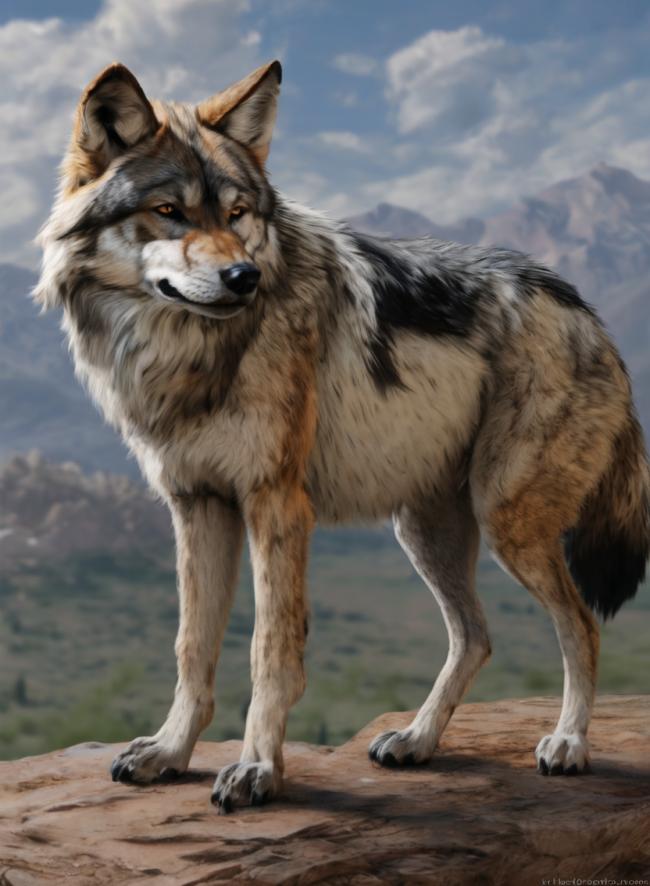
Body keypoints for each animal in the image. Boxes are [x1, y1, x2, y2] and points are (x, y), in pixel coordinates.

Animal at [36, 60, 649, 812]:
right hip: (427, 532)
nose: (244, 276)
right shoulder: (197, 505)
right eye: (169, 211)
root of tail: (588, 313)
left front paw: (257, 769)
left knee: (580, 625)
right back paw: (417, 741)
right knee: (475, 636)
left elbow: (269, 649)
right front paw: (170, 753)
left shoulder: (275, 504)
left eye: (237, 214)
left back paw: (568, 744)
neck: (188, 354)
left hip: (509, 522)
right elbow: (191, 646)